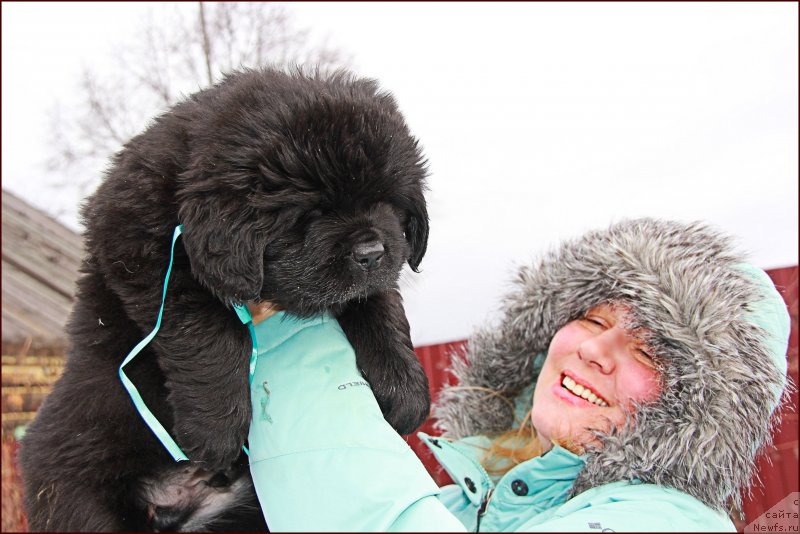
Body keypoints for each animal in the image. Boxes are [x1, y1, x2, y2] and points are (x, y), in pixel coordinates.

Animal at [20, 68, 432, 532]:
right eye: (311, 212)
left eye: (387, 202)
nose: (371, 252)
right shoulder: (138, 249)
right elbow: (207, 323)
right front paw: (215, 427)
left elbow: (380, 304)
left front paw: (405, 388)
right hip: (86, 502)